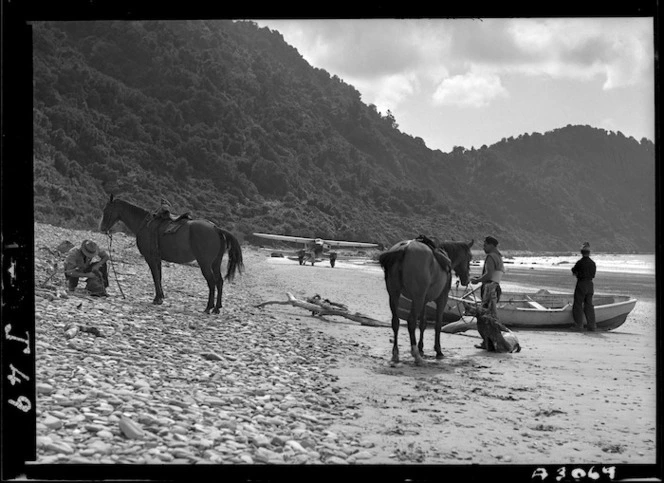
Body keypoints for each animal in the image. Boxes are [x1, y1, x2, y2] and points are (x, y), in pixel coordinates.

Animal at [98, 195, 244, 316]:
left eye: (106, 210)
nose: (102, 228)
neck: (144, 225)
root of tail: (216, 228)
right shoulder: (157, 259)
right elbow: (159, 276)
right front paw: (160, 297)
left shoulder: (150, 258)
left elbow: (155, 277)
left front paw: (157, 299)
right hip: (215, 263)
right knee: (219, 282)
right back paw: (217, 308)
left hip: (205, 263)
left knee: (212, 282)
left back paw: (208, 307)